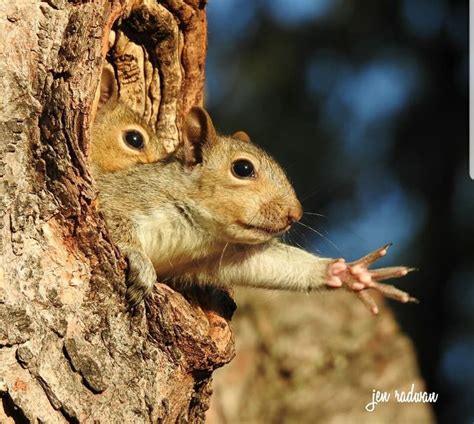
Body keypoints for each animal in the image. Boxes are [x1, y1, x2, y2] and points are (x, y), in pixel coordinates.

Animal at [90, 78, 416, 312]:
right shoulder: (128, 196)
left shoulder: (217, 255)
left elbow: (267, 264)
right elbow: (112, 219)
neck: (198, 229)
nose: (295, 214)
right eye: (243, 168)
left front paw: (349, 274)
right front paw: (141, 263)